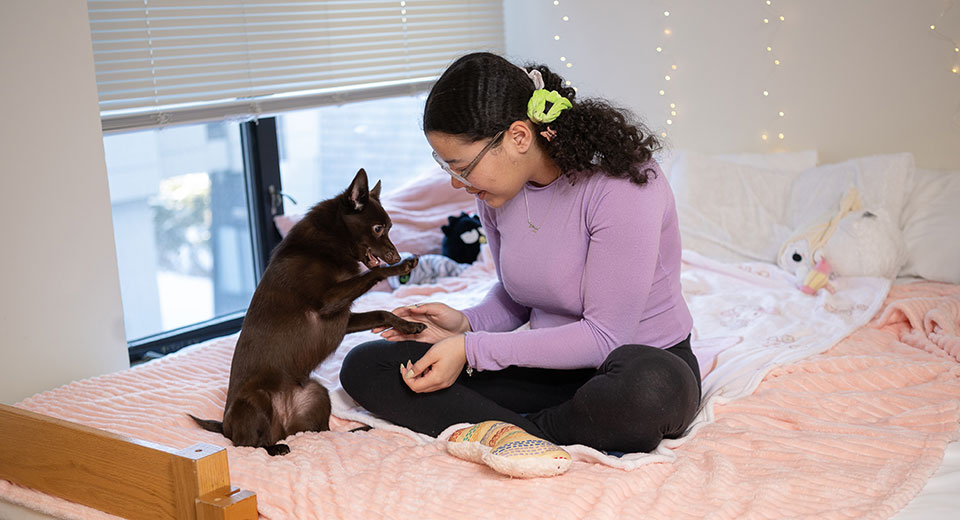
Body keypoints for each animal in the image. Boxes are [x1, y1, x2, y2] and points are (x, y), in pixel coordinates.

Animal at [191, 169, 424, 452]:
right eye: (378, 228)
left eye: (389, 228)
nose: (396, 256)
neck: (330, 242)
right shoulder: (327, 301)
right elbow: (373, 273)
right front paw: (400, 268)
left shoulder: (343, 317)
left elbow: (381, 312)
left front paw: (409, 325)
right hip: (255, 400)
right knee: (248, 445)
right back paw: (275, 449)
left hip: (317, 394)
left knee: (320, 432)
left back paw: (358, 430)